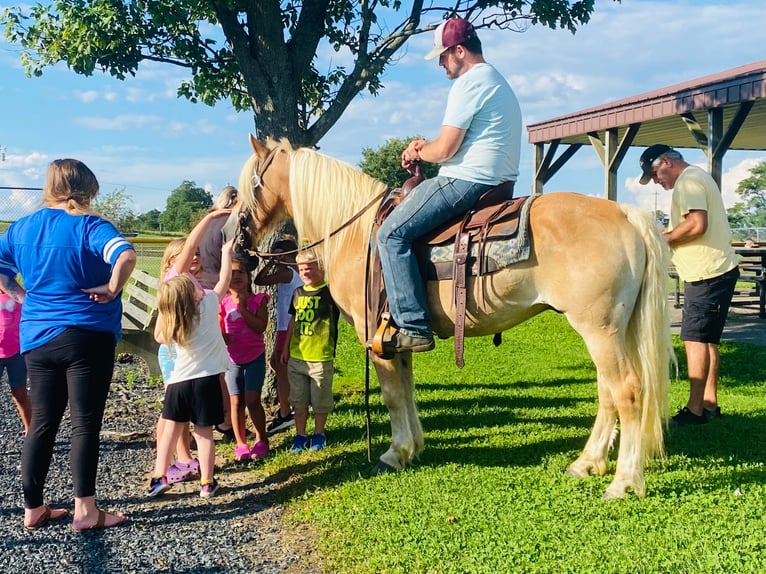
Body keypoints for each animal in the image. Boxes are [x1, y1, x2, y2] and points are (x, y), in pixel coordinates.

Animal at [238, 136, 672, 500]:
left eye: (250, 187)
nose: (241, 243)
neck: (356, 235)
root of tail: (626, 214)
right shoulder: (397, 337)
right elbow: (407, 391)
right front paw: (413, 447)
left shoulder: (374, 337)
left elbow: (392, 396)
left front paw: (394, 454)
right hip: (611, 331)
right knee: (608, 394)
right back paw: (588, 463)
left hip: (600, 330)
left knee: (628, 393)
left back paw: (623, 482)